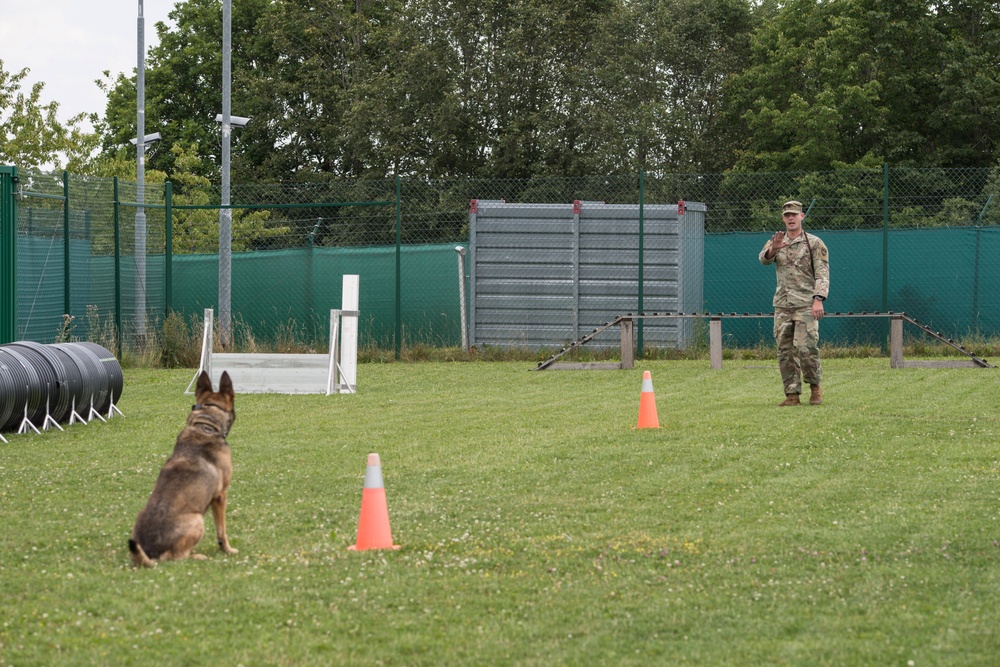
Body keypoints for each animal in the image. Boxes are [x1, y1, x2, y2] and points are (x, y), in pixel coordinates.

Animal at [129, 370, 238, 568]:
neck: (206, 426)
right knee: (176, 556)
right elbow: (222, 531)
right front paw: (228, 550)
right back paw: (197, 556)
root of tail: (152, 554)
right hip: (198, 519)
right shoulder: (220, 496)